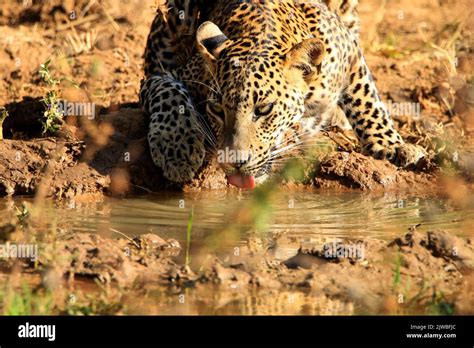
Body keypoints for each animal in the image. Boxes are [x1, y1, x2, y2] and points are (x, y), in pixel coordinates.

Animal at [140, 0, 426, 189]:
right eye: (217, 110)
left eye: (264, 109)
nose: (234, 162)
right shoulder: (159, 77)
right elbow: (169, 94)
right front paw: (177, 149)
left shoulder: (351, 53)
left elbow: (368, 102)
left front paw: (393, 145)